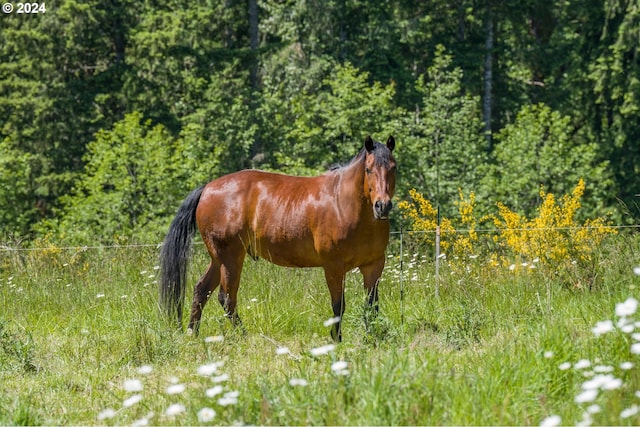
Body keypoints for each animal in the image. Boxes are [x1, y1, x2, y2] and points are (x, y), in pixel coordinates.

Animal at [160, 135, 396, 342]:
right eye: (368, 169)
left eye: (393, 168)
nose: (382, 206)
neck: (343, 204)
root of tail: (207, 188)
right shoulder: (334, 267)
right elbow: (338, 305)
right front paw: (337, 340)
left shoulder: (373, 266)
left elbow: (371, 305)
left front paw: (372, 337)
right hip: (230, 258)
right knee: (226, 298)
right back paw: (243, 336)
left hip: (218, 259)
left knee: (202, 290)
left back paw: (192, 334)